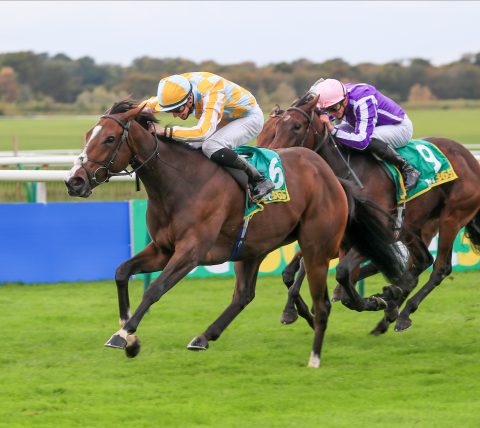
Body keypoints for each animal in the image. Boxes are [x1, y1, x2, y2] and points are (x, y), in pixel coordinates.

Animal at [63, 100, 404, 368]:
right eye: (87, 136)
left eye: (109, 139)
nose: (74, 181)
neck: (178, 183)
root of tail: (332, 176)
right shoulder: (162, 248)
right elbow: (122, 272)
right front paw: (130, 338)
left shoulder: (190, 252)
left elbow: (155, 290)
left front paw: (123, 335)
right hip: (253, 247)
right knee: (244, 295)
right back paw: (204, 336)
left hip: (317, 246)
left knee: (328, 294)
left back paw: (325, 345)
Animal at [258, 93, 480, 334]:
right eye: (275, 127)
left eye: (297, 126)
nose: (274, 156)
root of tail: (470, 159)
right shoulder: (341, 237)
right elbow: (298, 270)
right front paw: (296, 310)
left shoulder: (372, 235)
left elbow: (342, 273)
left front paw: (372, 300)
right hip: (416, 227)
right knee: (420, 261)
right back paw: (390, 305)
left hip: (452, 217)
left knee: (439, 267)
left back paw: (401, 311)